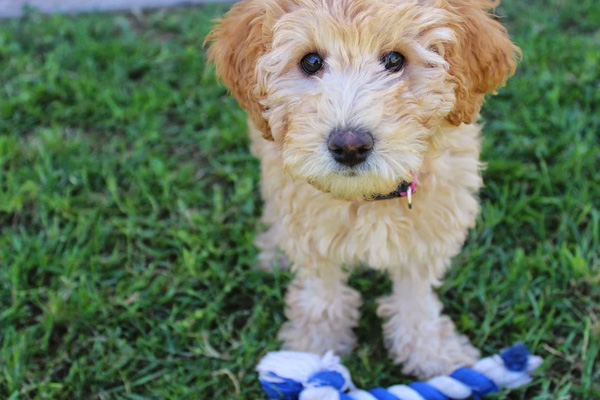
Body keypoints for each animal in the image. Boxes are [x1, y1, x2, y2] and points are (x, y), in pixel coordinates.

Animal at [206, 0, 516, 378]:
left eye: (395, 59)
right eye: (311, 61)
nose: (350, 146)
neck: (368, 197)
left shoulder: (428, 233)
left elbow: (416, 298)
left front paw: (431, 352)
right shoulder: (310, 231)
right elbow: (322, 295)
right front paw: (314, 352)